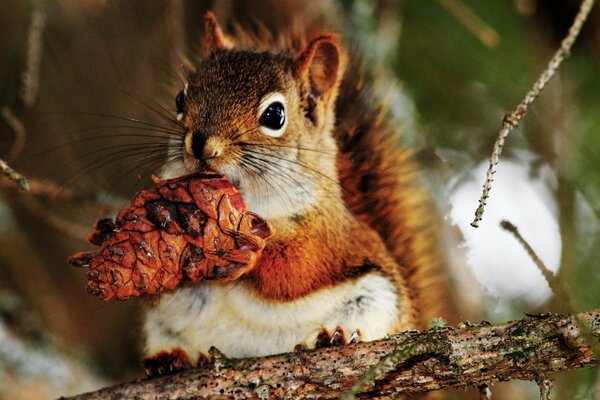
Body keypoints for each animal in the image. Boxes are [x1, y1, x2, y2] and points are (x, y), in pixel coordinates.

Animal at [142, 11, 450, 376]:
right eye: (180, 98)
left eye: (275, 115)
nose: (201, 144)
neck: (251, 203)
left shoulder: (325, 236)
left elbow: (294, 269)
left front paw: (250, 251)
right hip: (161, 324)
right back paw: (173, 358)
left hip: (379, 299)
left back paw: (335, 336)